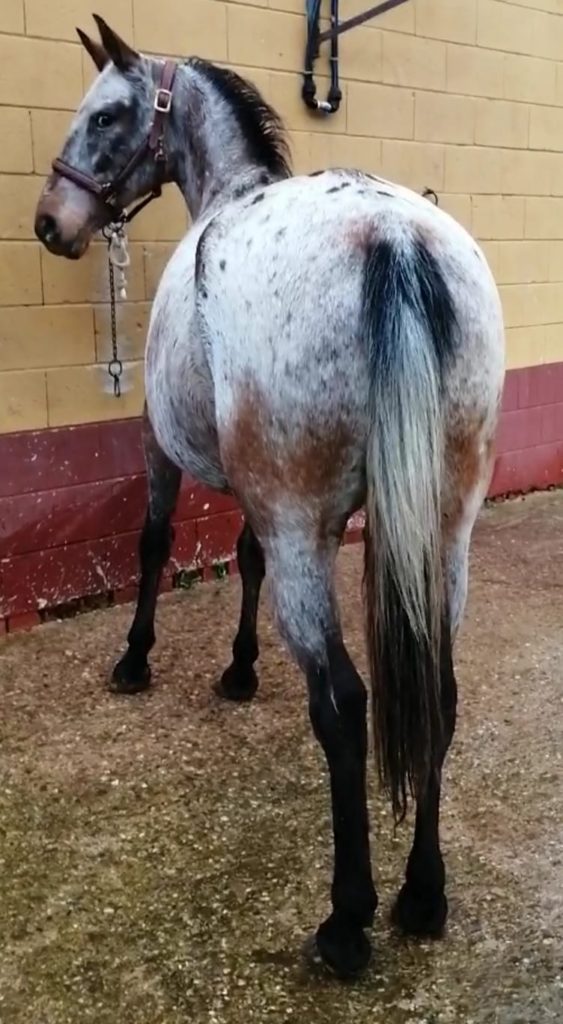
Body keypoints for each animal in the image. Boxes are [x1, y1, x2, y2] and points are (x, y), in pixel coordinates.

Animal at [35, 16, 505, 980]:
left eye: (104, 115)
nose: (50, 223)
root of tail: (389, 236)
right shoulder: (260, 500)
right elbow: (241, 558)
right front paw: (241, 669)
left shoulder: (162, 446)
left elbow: (151, 543)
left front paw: (136, 659)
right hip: (444, 534)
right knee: (437, 693)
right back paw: (422, 896)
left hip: (306, 532)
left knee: (345, 704)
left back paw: (347, 920)